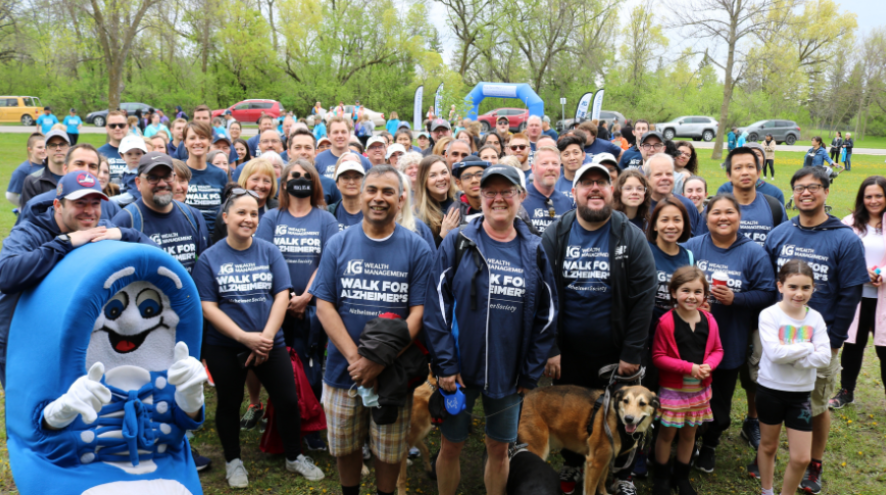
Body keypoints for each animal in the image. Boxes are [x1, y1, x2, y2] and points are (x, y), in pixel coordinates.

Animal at [516, 388, 656, 495]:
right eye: (625, 401)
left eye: (642, 403)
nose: (629, 419)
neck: (618, 421)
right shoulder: (594, 463)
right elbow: (591, 489)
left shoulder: (605, 460)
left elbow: (601, 482)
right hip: (537, 451)